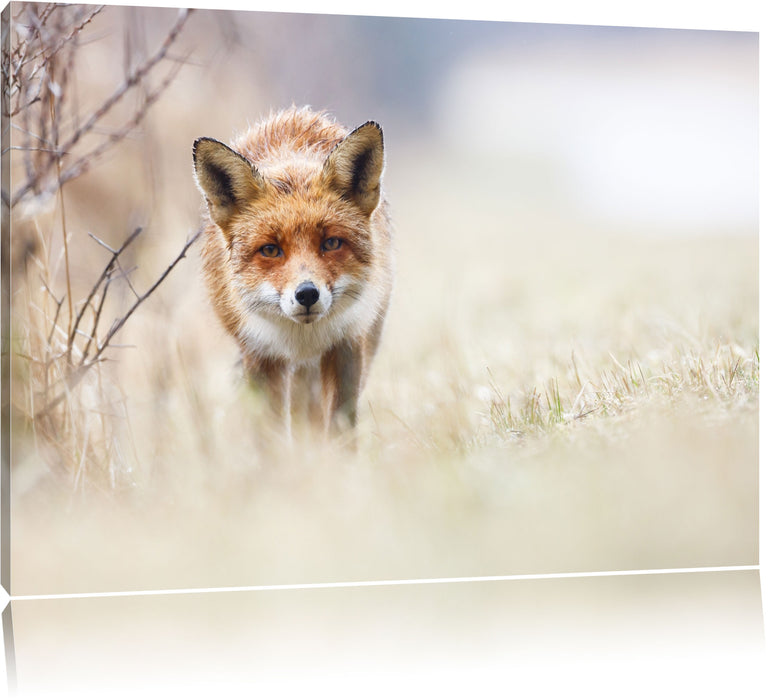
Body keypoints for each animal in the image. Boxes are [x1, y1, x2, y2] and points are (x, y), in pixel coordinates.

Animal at [192, 107, 393, 442]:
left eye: (331, 243)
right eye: (271, 249)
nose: (307, 294)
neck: (302, 339)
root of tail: (295, 113)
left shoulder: (347, 345)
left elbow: (339, 428)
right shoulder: (260, 355)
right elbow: (269, 435)